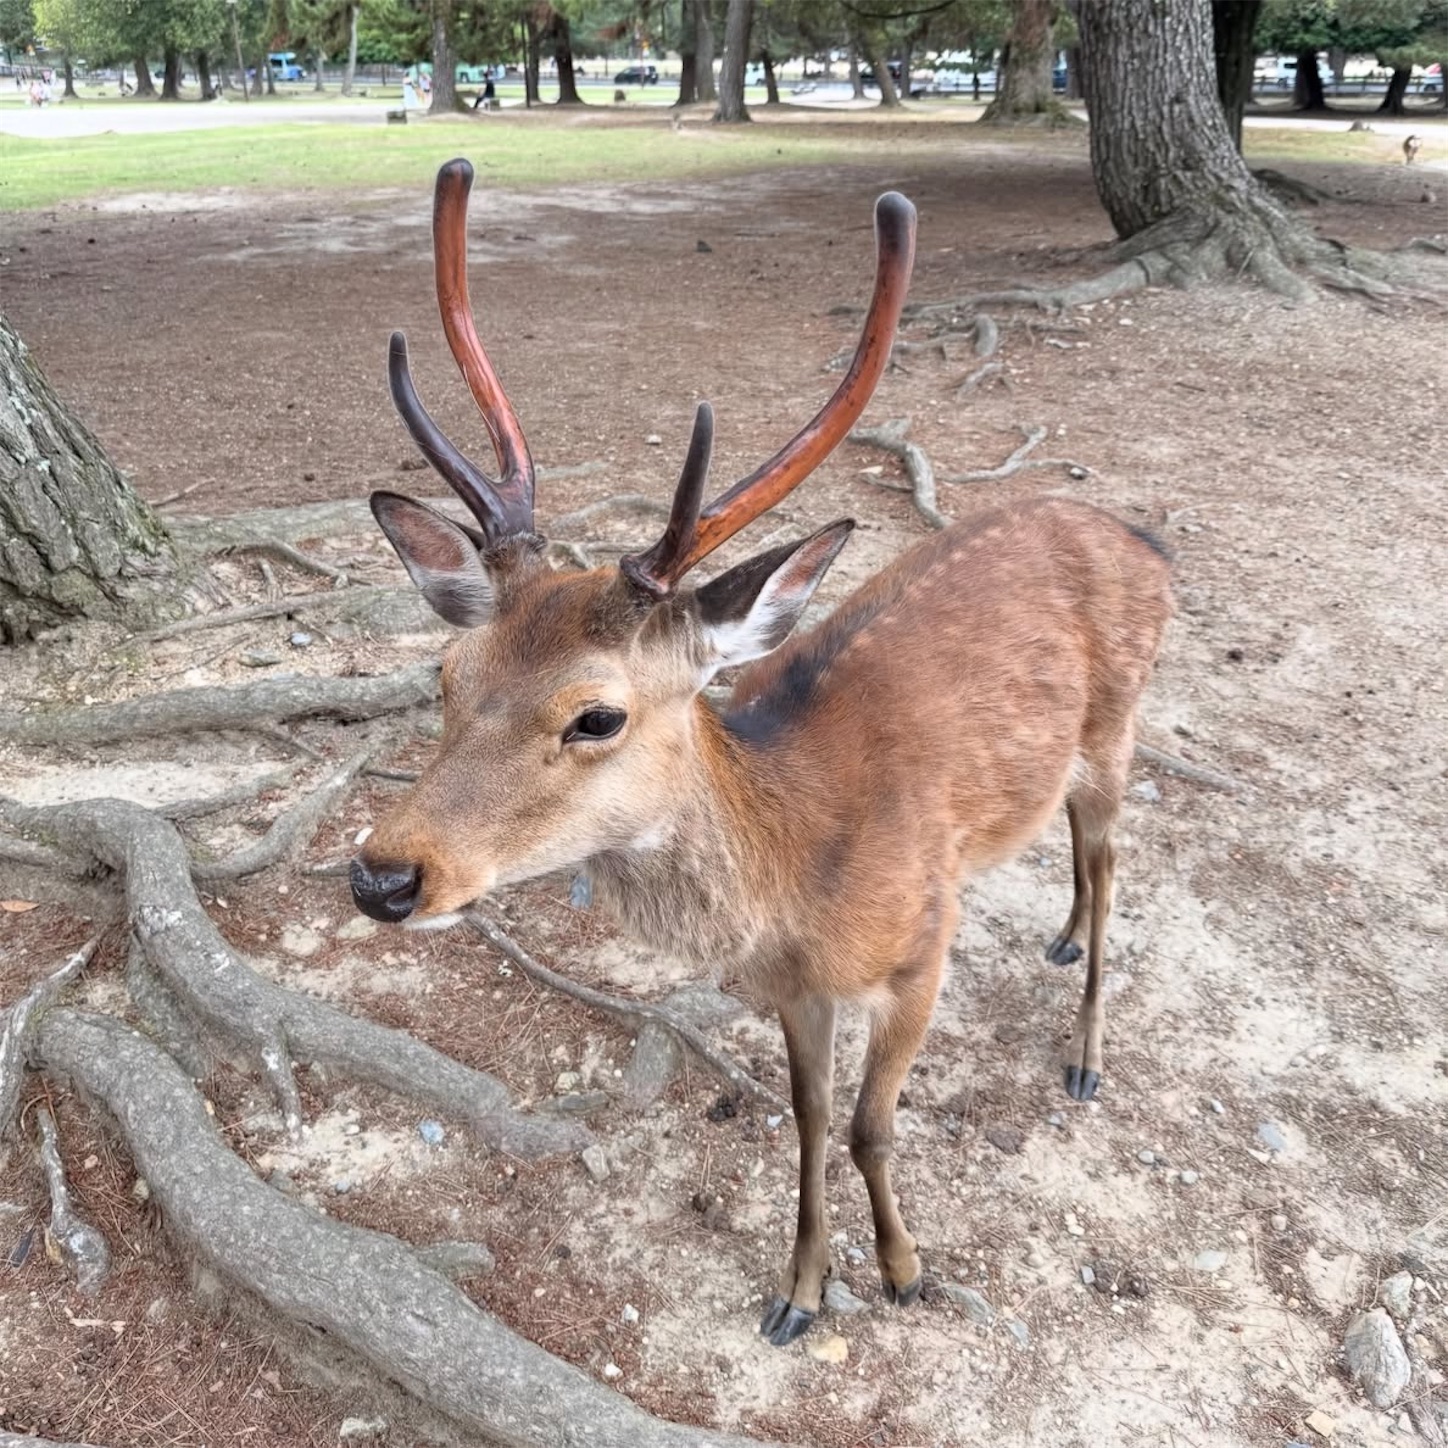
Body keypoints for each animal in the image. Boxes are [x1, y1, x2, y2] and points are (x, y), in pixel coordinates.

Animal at [351, 158, 1174, 1348]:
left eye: (595, 715)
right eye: (446, 674)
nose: (382, 875)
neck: (797, 881)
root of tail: (1141, 538)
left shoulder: (922, 946)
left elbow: (872, 1124)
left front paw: (902, 1268)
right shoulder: (790, 989)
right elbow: (808, 1116)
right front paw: (798, 1290)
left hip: (1120, 724)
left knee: (1116, 868)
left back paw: (1085, 1056)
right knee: (1068, 833)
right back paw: (1058, 939)